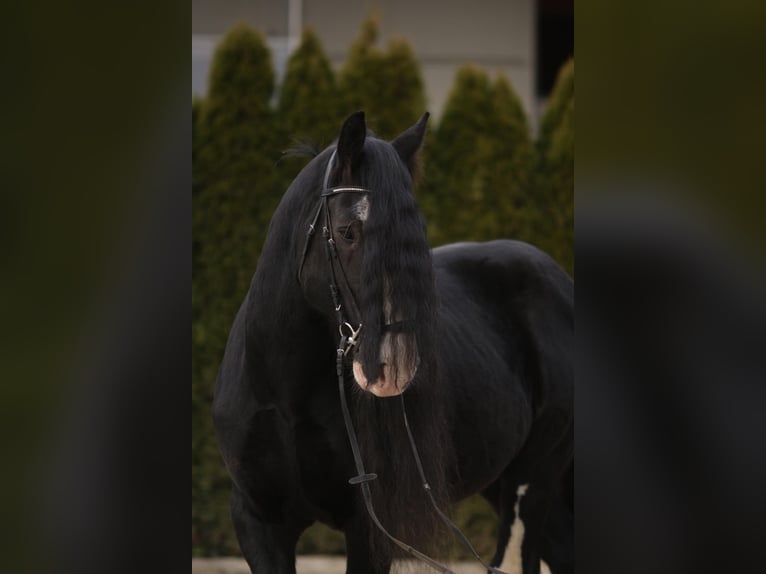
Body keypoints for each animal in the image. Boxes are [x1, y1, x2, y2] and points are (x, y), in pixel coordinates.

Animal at [213, 111, 573, 574]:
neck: (285, 391)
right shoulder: (258, 521)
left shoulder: (371, 529)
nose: (394, 367)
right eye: (347, 232)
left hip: (531, 480)